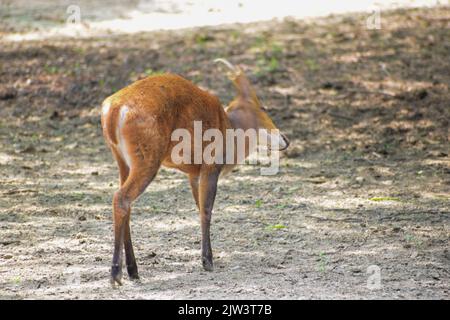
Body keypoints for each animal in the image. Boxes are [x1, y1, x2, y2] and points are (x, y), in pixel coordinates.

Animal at [100, 58, 290, 284]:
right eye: (263, 107)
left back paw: (133, 270)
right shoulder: (211, 165)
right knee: (121, 198)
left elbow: (199, 207)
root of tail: (112, 110)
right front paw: (208, 261)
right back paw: (116, 274)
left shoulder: (193, 174)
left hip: (122, 160)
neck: (230, 127)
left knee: (125, 203)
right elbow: (206, 210)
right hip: (147, 159)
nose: (285, 140)